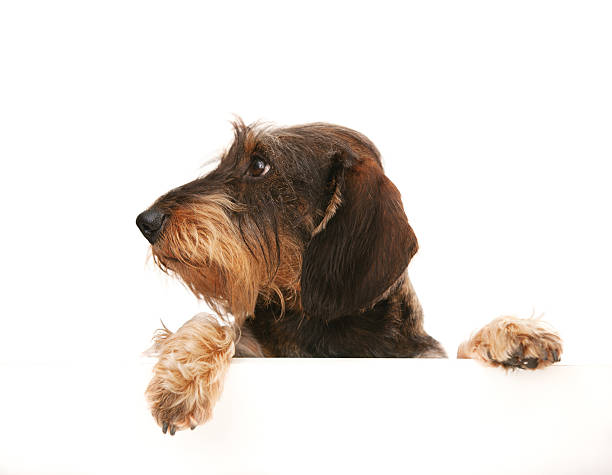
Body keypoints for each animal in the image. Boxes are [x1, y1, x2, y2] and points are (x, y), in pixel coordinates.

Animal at [136, 119, 560, 436]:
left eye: (259, 165)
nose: (146, 221)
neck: (324, 324)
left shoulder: (420, 360)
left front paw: (513, 333)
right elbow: (214, 325)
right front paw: (180, 380)